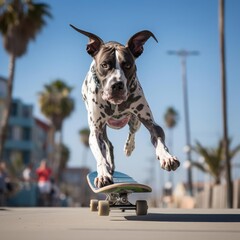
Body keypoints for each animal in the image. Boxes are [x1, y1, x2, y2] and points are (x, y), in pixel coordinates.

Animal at [70, 24, 179, 189]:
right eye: (104, 65)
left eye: (127, 65)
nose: (117, 85)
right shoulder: (95, 130)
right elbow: (100, 155)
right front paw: (103, 174)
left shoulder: (150, 123)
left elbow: (159, 139)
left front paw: (167, 157)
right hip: (102, 129)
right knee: (107, 145)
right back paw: (109, 166)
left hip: (135, 121)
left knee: (131, 131)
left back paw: (129, 147)